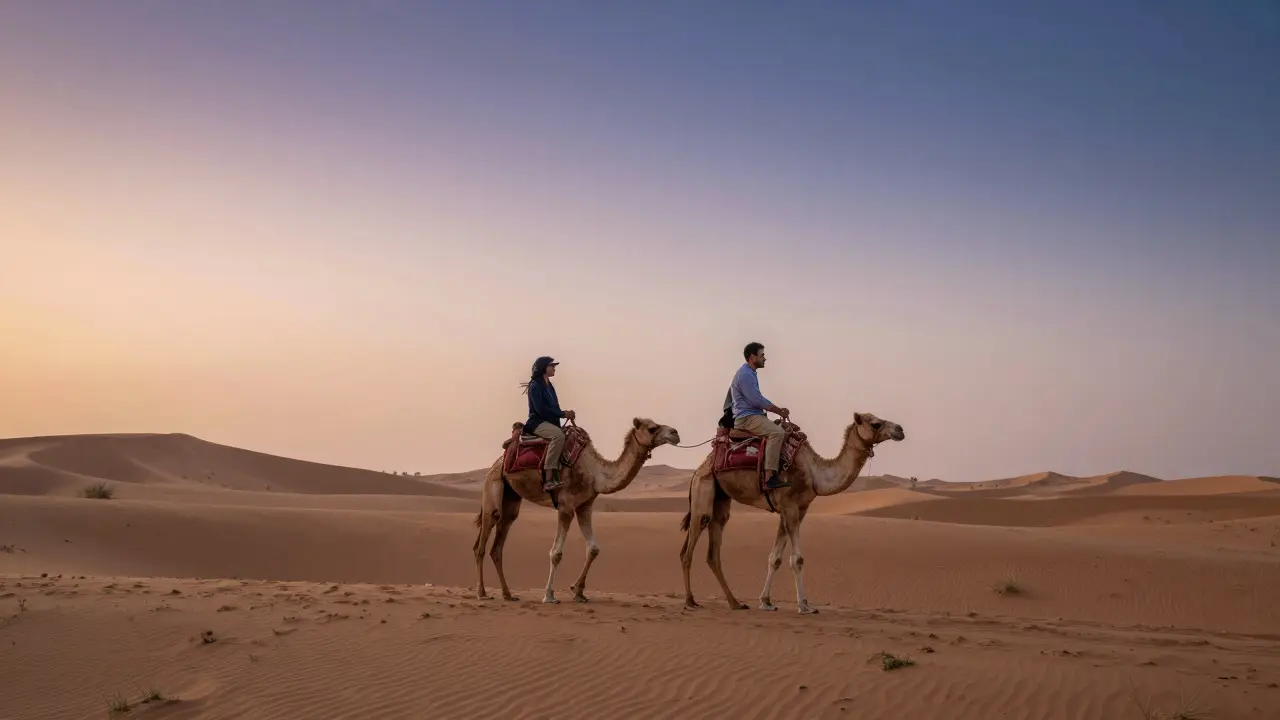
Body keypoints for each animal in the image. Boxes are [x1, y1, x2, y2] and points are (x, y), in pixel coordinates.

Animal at [473, 417, 681, 603]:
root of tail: (496, 463)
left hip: (511, 496)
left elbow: (594, 549)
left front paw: (578, 591)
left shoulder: (584, 506)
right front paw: (549, 595)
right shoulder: (565, 506)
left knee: (498, 543)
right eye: (652, 428)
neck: (594, 473)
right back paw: (482, 593)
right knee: (482, 543)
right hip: (493, 486)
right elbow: (556, 553)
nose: (675, 433)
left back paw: (508, 595)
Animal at [679, 411, 905, 614]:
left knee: (713, 551)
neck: (814, 474)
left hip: (720, 497)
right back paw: (690, 601)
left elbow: (775, 558)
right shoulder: (790, 507)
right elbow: (797, 560)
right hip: (704, 489)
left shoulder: (794, 510)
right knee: (689, 549)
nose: (900, 430)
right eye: (875, 423)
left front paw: (766, 601)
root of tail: (698, 469)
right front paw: (804, 606)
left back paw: (735, 603)